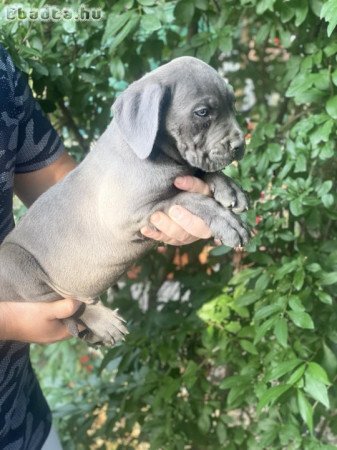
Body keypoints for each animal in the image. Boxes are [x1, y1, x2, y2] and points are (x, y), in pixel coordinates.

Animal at [0, 56, 248, 344]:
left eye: (232, 104)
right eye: (203, 112)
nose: (240, 146)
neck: (152, 152)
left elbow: (198, 173)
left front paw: (229, 187)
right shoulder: (131, 214)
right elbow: (188, 198)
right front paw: (226, 220)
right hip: (17, 264)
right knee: (64, 304)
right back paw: (102, 321)